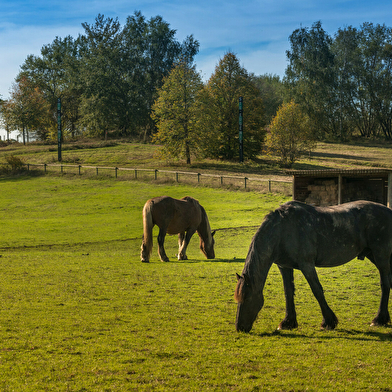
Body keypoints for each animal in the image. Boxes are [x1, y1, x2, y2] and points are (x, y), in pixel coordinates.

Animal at [234, 201, 392, 332]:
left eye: (247, 298)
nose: (239, 327)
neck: (282, 230)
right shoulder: (284, 267)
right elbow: (288, 292)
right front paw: (288, 322)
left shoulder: (307, 265)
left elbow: (317, 290)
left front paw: (328, 322)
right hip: (373, 255)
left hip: (381, 256)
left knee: (385, 284)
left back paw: (379, 319)